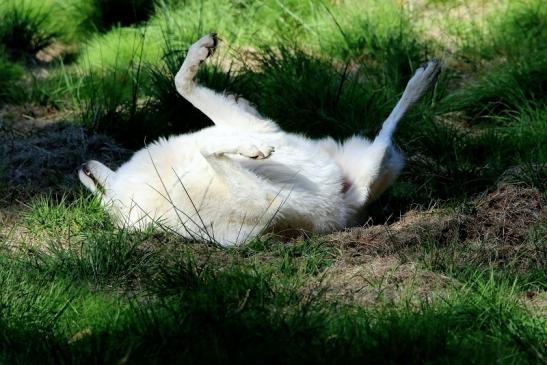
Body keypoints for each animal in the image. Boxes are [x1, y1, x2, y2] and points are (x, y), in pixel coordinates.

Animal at [79, 33, 440, 245]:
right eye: (101, 201)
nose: (80, 165)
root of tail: (350, 205)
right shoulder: (263, 192)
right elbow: (208, 141)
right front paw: (254, 149)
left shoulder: (257, 125)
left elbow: (183, 83)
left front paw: (204, 53)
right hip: (379, 160)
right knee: (388, 130)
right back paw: (423, 79)